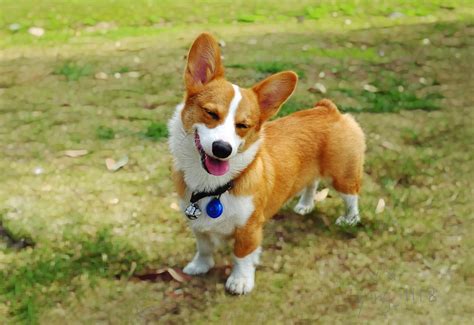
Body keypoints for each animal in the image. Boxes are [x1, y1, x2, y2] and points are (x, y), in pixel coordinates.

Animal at [168, 32, 364, 294]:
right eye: (210, 113)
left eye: (243, 125)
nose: (222, 149)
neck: (214, 186)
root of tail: (328, 109)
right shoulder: (198, 225)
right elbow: (204, 247)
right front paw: (200, 266)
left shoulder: (249, 229)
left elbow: (242, 256)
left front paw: (240, 281)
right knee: (311, 183)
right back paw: (305, 205)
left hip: (342, 175)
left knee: (351, 197)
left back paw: (350, 219)